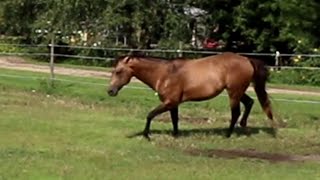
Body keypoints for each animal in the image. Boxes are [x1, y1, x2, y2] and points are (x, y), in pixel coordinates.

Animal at [107, 52, 276, 139]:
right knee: (249, 103)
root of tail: (247, 59)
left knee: (235, 112)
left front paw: (146, 135)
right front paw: (175, 135)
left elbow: (150, 115)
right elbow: (175, 119)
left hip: (233, 93)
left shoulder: (169, 102)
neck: (164, 74)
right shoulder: (173, 103)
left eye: (118, 71)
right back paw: (243, 126)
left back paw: (228, 134)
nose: (110, 91)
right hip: (238, 91)